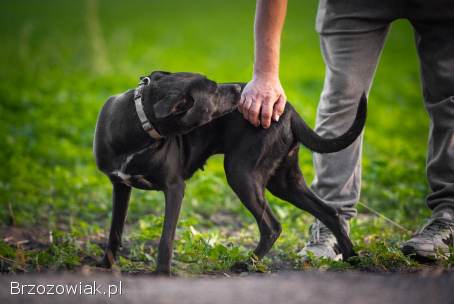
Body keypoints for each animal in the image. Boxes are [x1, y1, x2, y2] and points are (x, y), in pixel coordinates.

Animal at [94, 71, 368, 276]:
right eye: (213, 91)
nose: (239, 90)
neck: (139, 123)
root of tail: (289, 109)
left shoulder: (174, 187)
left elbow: (166, 237)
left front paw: (162, 273)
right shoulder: (120, 185)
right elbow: (115, 230)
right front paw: (106, 265)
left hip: (241, 173)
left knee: (272, 225)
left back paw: (246, 264)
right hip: (284, 181)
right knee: (329, 212)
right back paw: (353, 259)